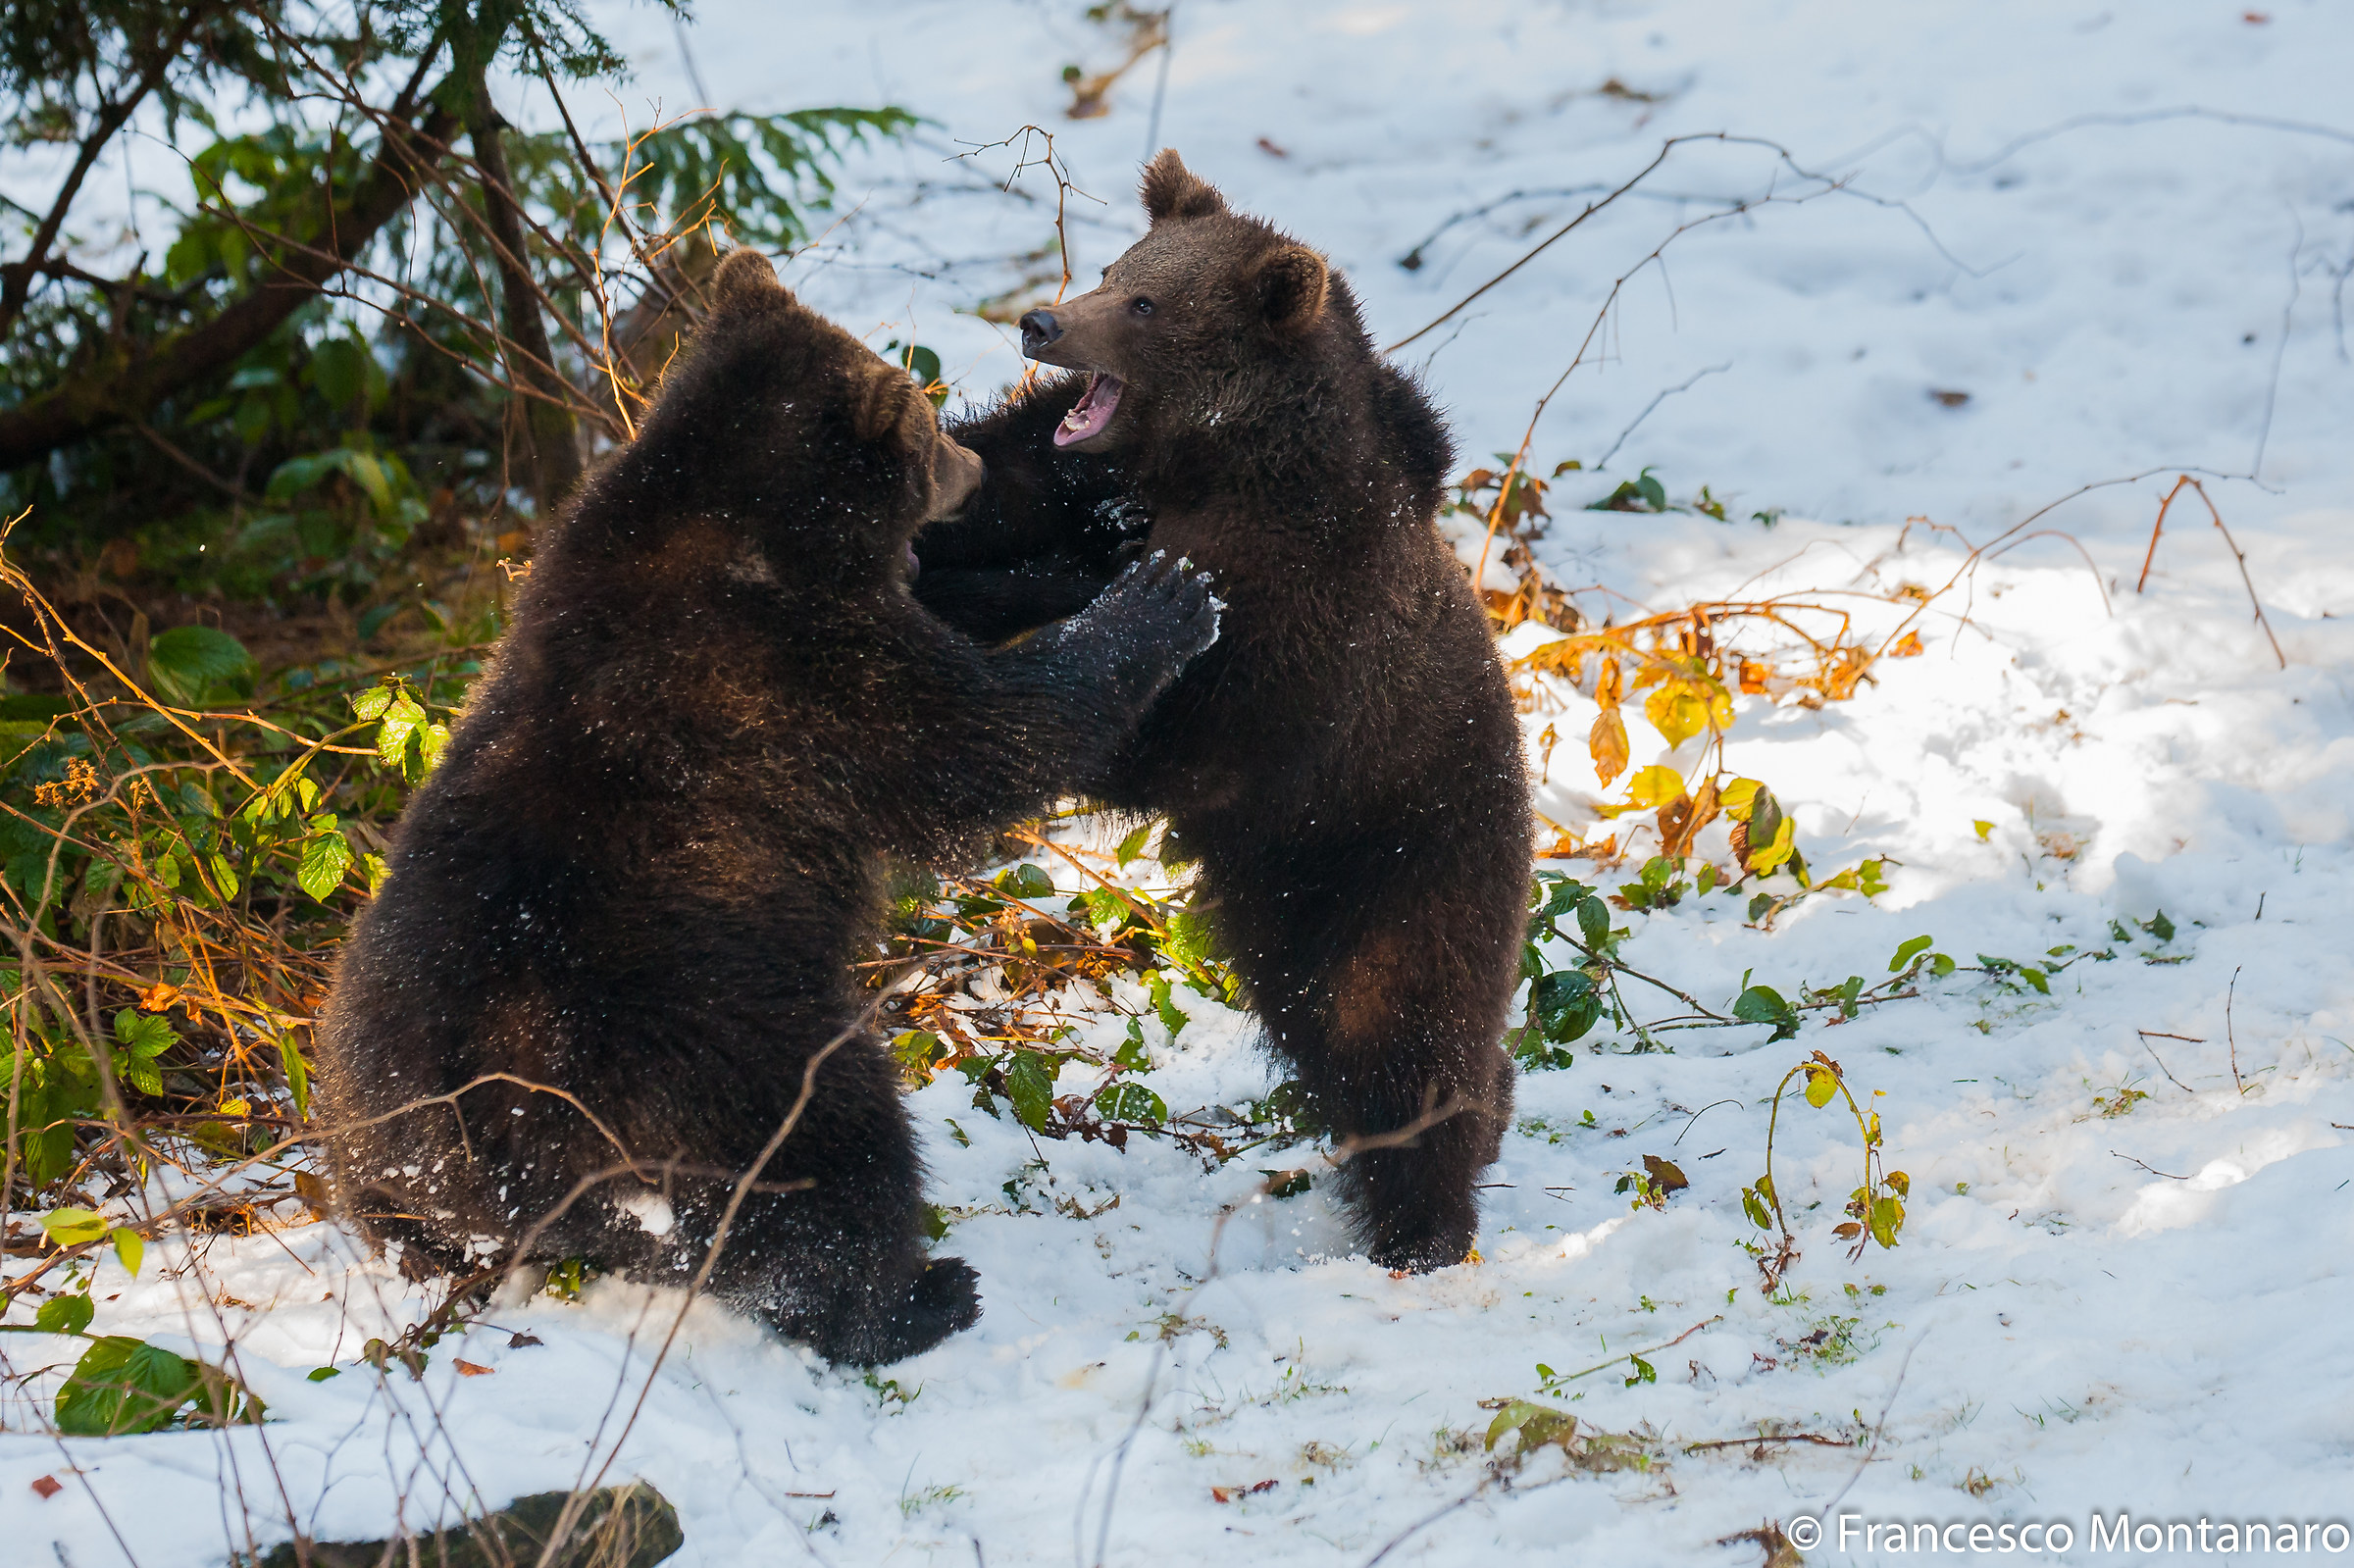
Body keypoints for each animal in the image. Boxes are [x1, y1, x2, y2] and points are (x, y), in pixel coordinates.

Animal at [315, 244, 1224, 1355]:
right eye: (924, 424)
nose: (967, 467)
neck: (756, 533)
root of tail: (482, 1145)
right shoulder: (795, 680)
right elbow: (978, 739)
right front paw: (1163, 597)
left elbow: (955, 619)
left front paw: (1100, 543)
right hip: (711, 1047)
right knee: (828, 1159)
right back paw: (915, 1295)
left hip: (368, 1105)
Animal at [908, 149, 1534, 1271]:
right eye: (1114, 267)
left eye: (1147, 302)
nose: (1041, 321)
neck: (1218, 468)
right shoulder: (1069, 474)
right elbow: (997, 486)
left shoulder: (1297, 632)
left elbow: (1172, 735)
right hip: (1286, 903)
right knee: (1327, 1026)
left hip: (1410, 853)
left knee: (1406, 1035)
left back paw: (1423, 1223)